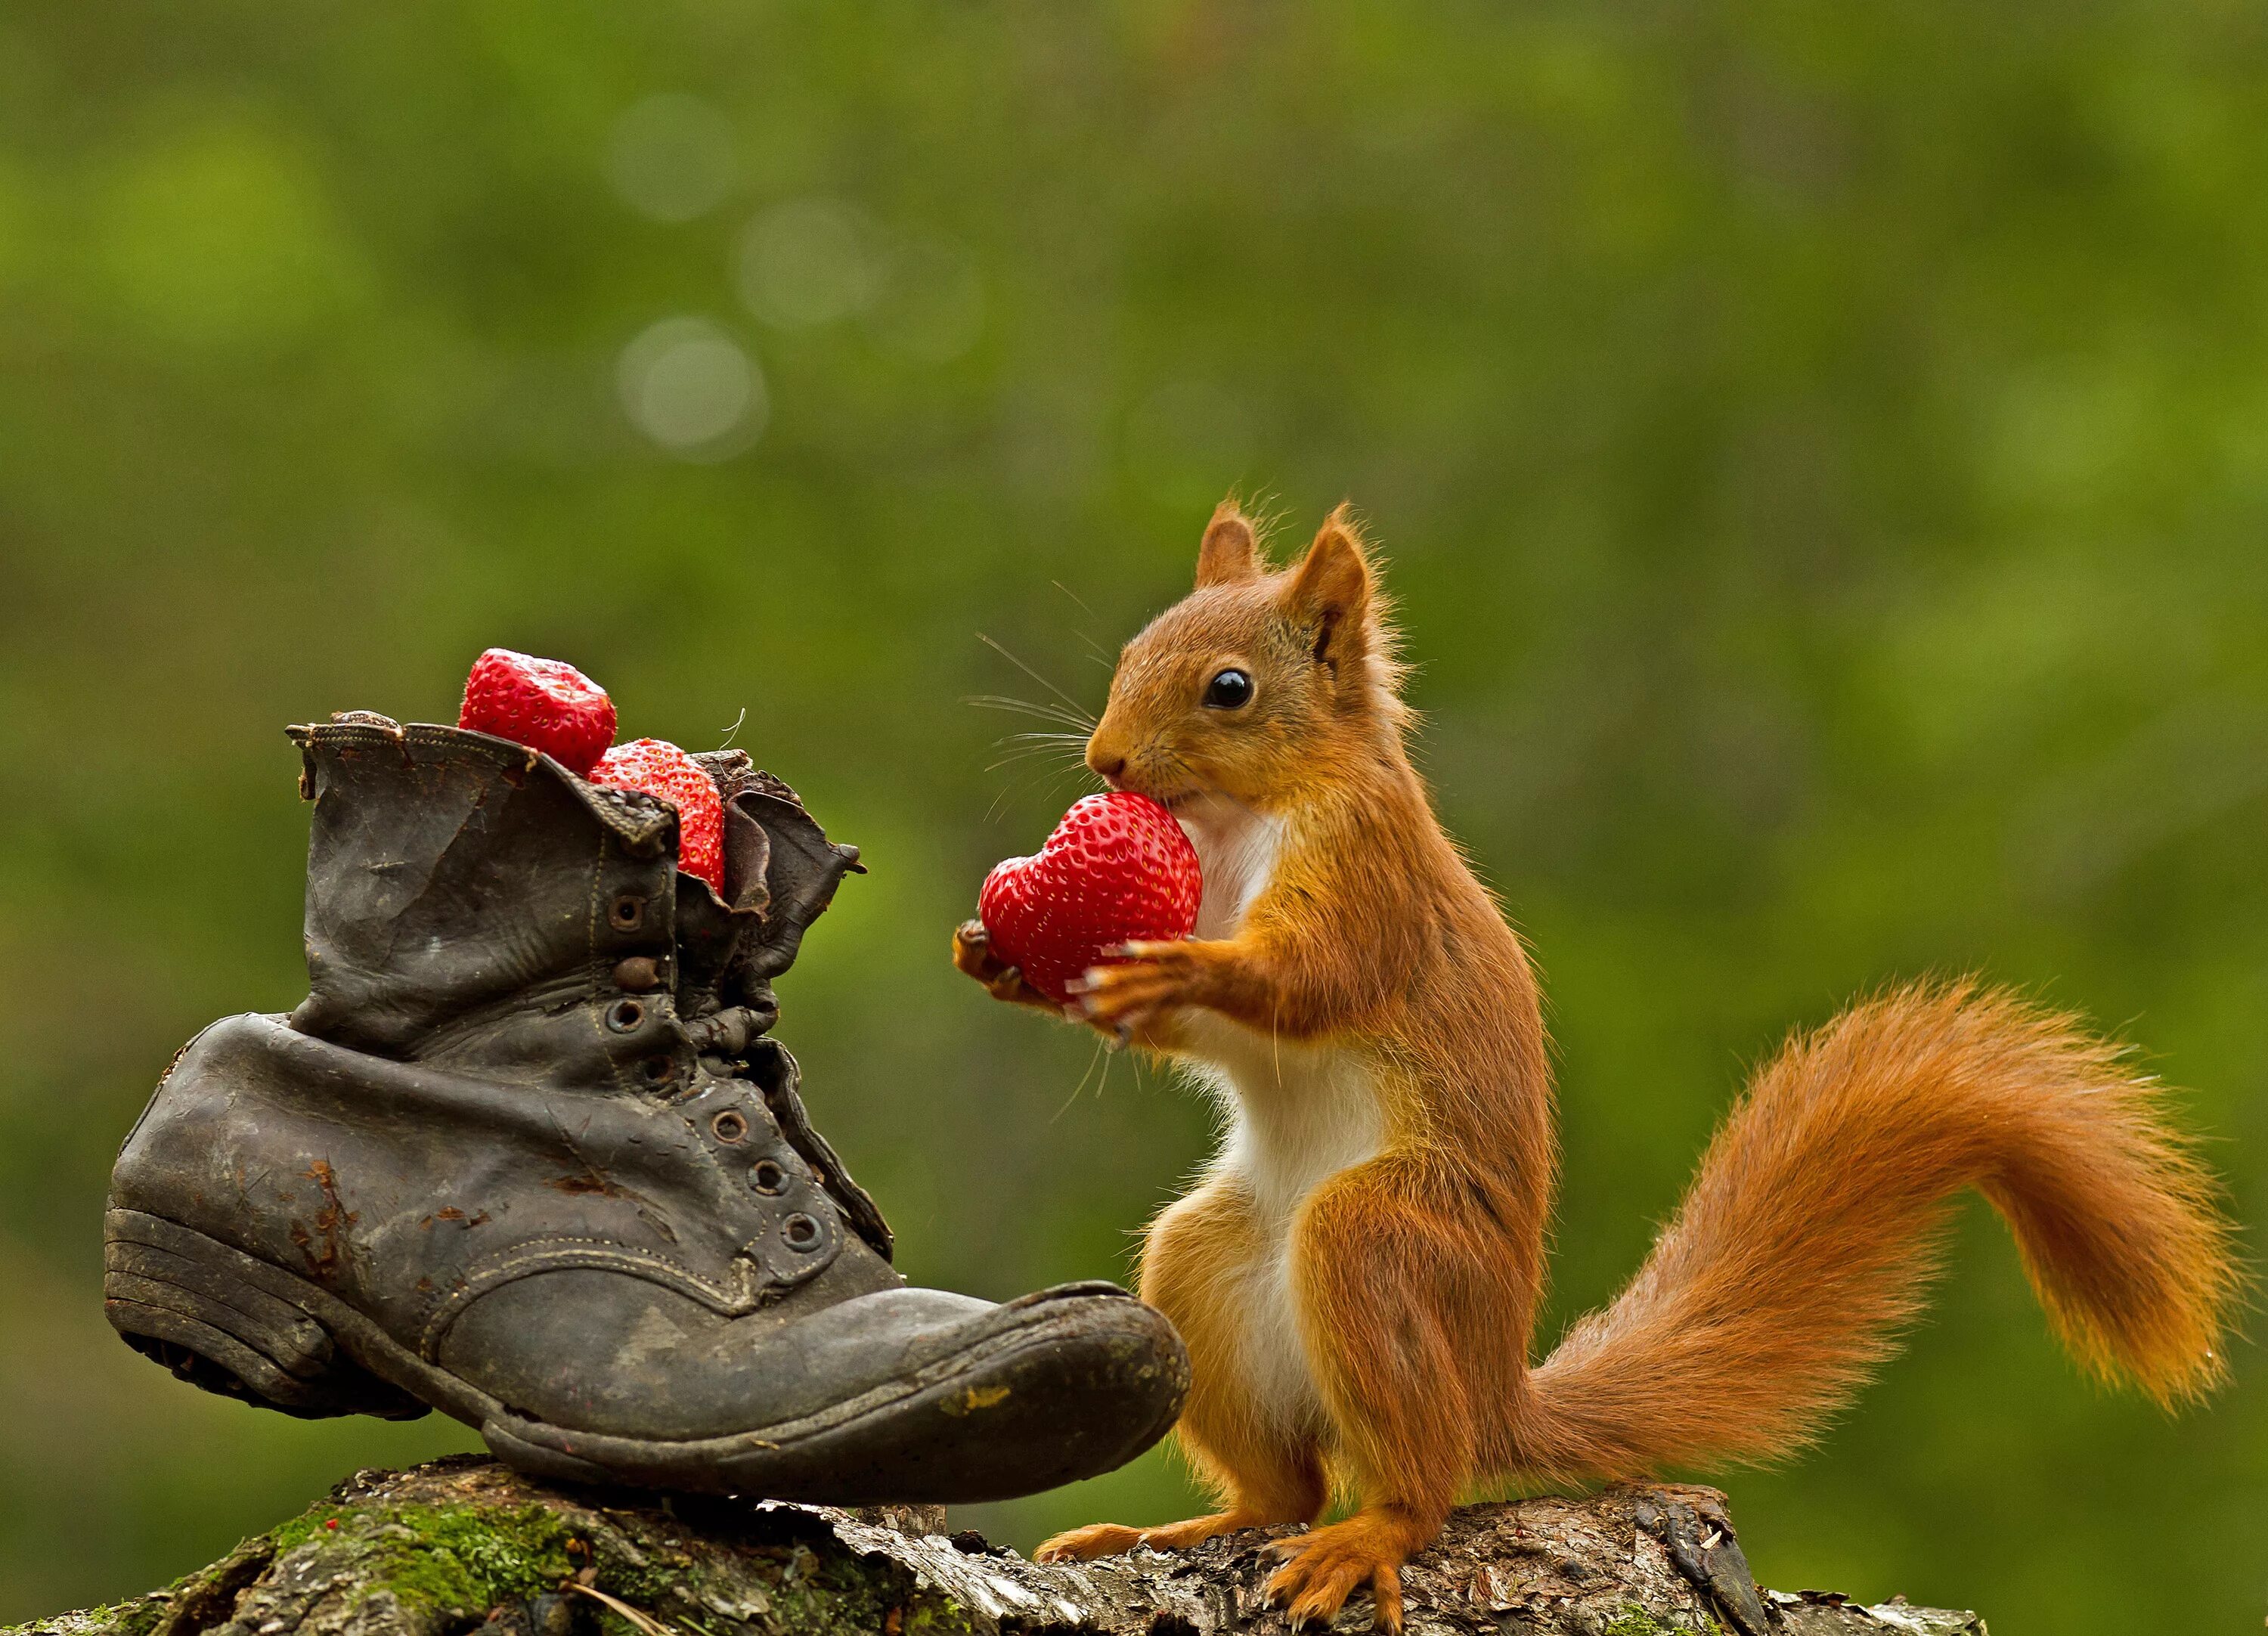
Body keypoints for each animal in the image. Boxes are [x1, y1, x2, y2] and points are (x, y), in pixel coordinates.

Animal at [948, 504, 2241, 1624]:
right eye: (1132, 650)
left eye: (1231, 689)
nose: (1107, 761)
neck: (1237, 824)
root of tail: (1492, 1395)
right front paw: (1004, 958)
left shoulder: (1369, 878)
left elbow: (1309, 980)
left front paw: (1173, 971)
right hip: (1208, 1260)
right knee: (1288, 1488)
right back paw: (1182, 1531)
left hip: (1383, 1245)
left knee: (1415, 1486)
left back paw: (1369, 1537)